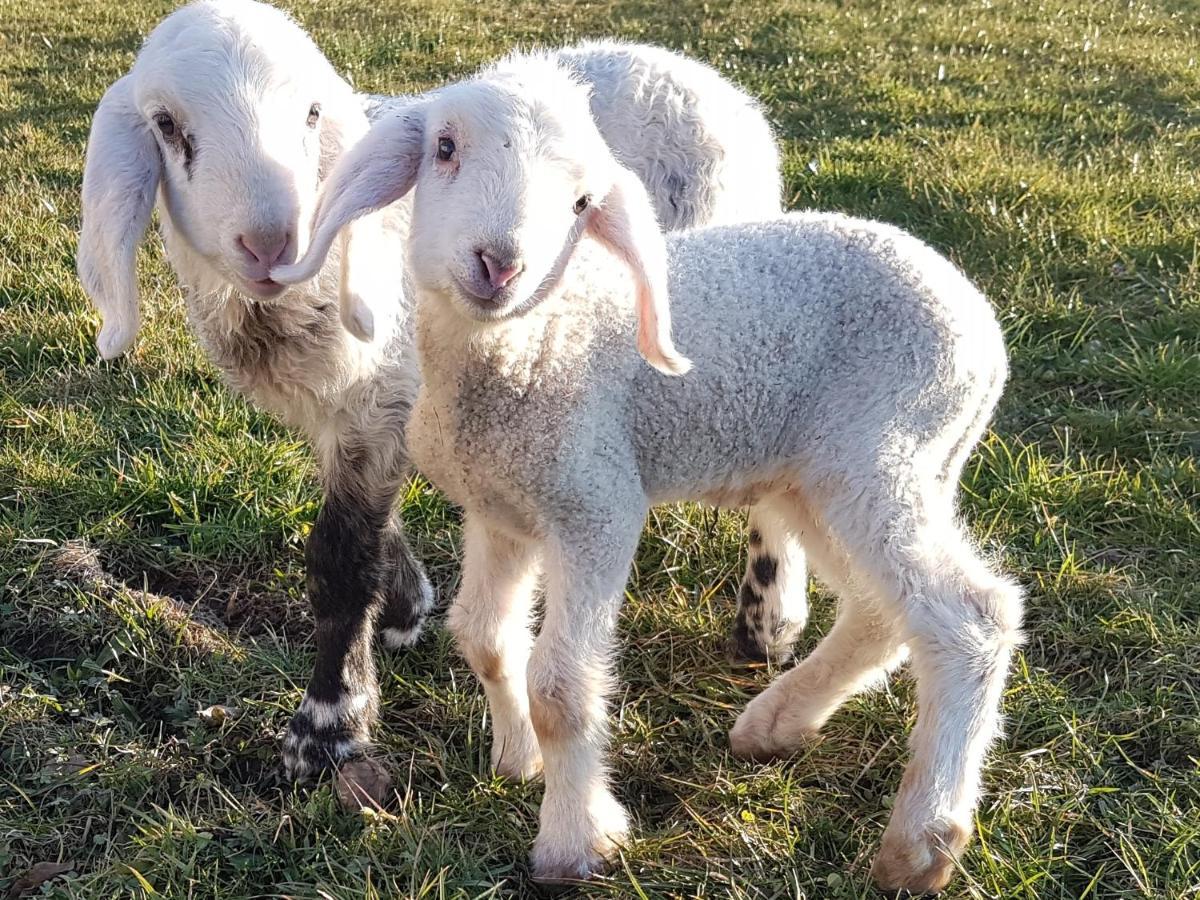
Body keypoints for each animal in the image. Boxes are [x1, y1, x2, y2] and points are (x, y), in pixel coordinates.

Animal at [75, 0, 787, 787]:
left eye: (312, 113)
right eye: (167, 125)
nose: (270, 243)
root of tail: (706, 80)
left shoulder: (384, 400)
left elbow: (340, 557)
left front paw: (328, 724)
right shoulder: (354, 415)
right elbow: (373, 529)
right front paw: (405, 607)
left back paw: (768, 619)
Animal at [276, 58, 1027, 897]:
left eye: (581, 202)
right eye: (444, 147)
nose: (501, 264)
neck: (530, 344)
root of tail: (981, 323)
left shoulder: (596, 505)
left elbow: (562, 688)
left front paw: (574, 840)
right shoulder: (501, 508)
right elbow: (485, 638)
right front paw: (517, 759)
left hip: (884, 453)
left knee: (970, 615)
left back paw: (921, 842)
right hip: (820, 477)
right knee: (880, 612)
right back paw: (776, 724)